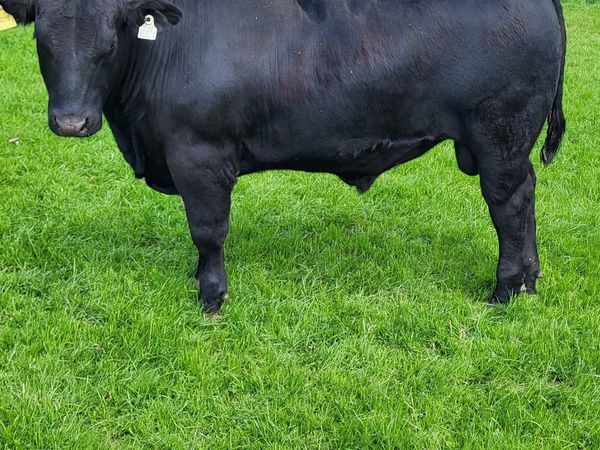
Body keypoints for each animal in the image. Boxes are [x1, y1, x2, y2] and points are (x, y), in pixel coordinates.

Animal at [0, 0, 566, 314]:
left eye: (115, 32)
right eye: (42, 35)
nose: (72, 122)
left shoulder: (200, 156)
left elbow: (208, 230)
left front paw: (211, 297)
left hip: (499, 134)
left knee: (509, 206)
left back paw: (505, 289)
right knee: (527, 198)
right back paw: (531, 280)